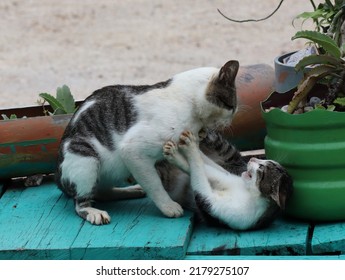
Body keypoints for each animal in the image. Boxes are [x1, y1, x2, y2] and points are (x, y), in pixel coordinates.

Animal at [55, 59, 239, 225]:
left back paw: (132, 190)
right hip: (86, 158)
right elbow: (154, 184)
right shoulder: (133, 152)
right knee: (81, 203)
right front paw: (169, 207)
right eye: (231, 107)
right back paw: (94, 211)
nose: (230, 121)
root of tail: (59, 177)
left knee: (103, 193)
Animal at [160, 130, 292, 231]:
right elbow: (205, 166)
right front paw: (187, 150)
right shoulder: (227, 177)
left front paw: (186, 149)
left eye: (261, 167)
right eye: (263, 160)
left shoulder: (210, 202)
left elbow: (198, 170)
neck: (249, 193)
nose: (253, 158)